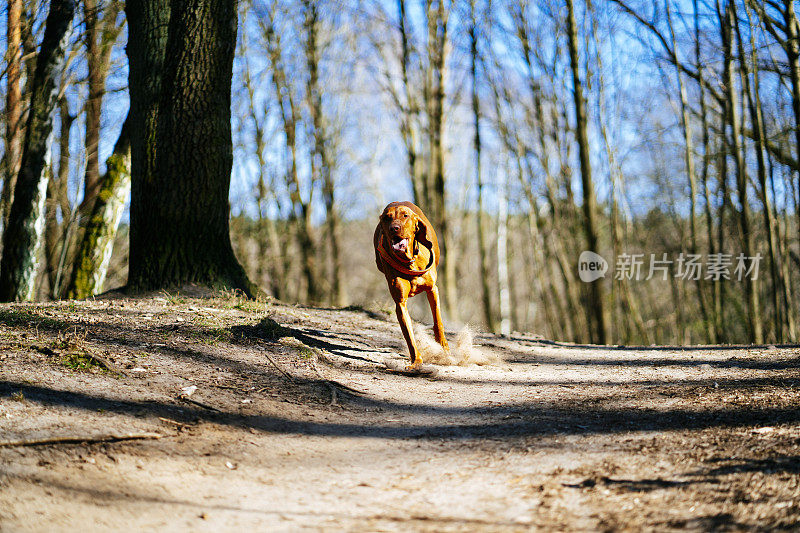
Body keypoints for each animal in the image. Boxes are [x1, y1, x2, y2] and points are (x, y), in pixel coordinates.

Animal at [376, 201, 450, 370]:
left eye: (405, 216)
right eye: (387, 218)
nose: (394, 228)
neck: (409, 261)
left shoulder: (432, 290)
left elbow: (438, 321)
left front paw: (443, 348)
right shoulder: (400, 303)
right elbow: (409, 334)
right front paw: (416, 361)